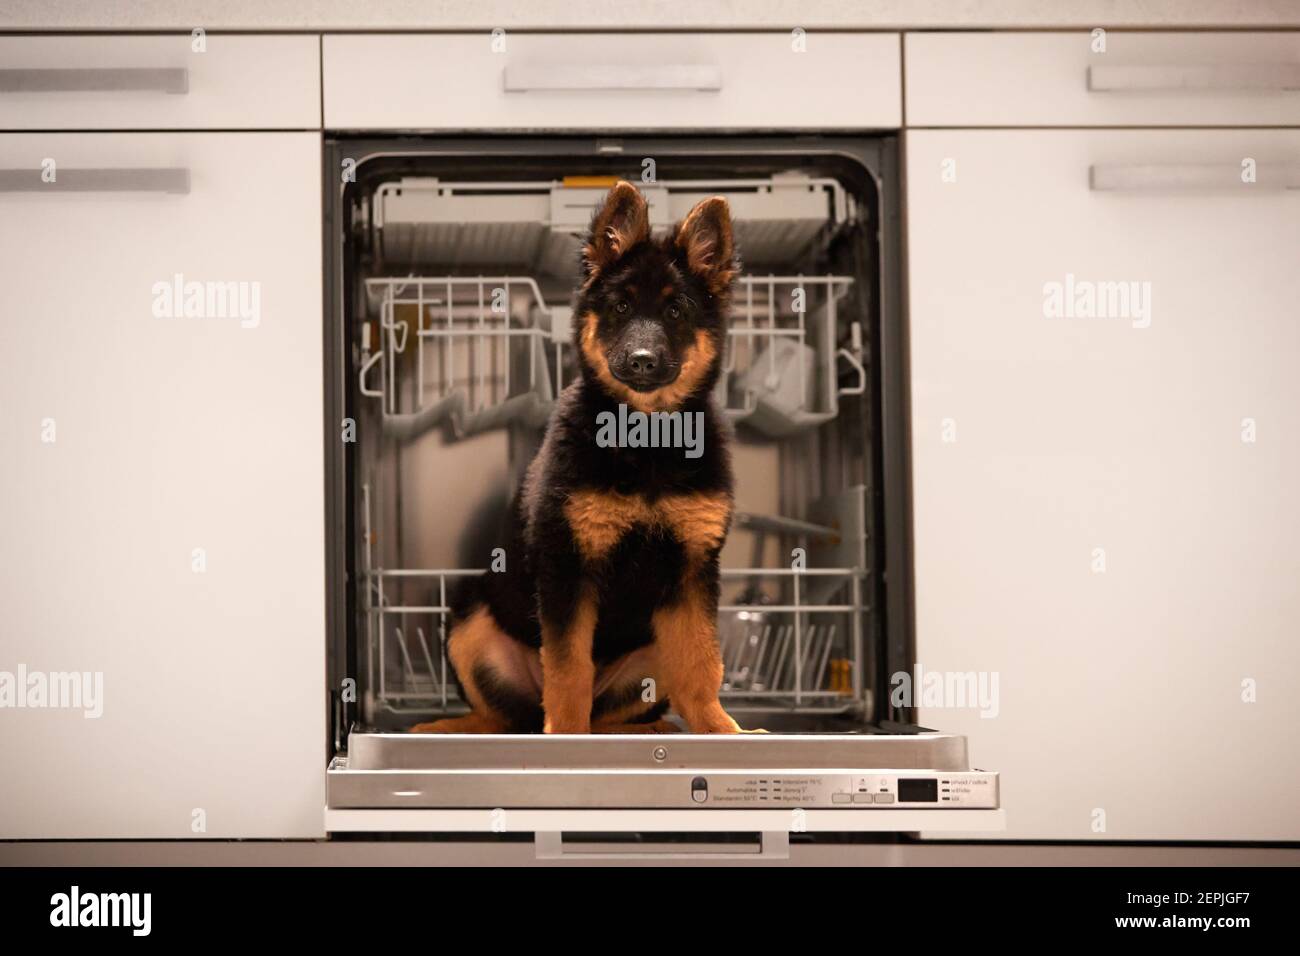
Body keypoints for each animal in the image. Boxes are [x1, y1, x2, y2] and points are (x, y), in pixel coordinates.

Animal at [410, 178, 748, 733]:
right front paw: (566, 736)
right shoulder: (568, 567)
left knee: (613, 710)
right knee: (505, 712)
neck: (645, 439)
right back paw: (453, 727)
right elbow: (568, 669)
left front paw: (719, 729)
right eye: (621, 308)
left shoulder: (692, 573)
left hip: (649, 650)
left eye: (676, 312)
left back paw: (647, 726)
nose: (642, 361)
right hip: (469, 620)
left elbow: (701, 665)